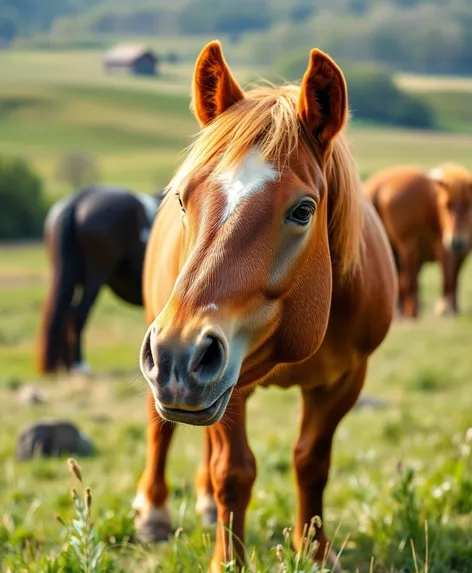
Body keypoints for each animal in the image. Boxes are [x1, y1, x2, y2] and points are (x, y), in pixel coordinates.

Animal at [134, 42, 398, 568]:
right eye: (183, 199)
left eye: (303, 210)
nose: (178, 353)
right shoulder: (229, 381)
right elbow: (233, 471)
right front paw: (228, 561)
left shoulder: (345, 379)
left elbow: (311, 462)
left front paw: (315, 552)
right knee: (161, 429)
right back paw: (154, 511)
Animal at [366, 162, 472, 318]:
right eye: (446, 205)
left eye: (469, 205)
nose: (457, 242)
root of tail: (379, 186)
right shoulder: (442, 246)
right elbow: (448, 275)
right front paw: (445, 308)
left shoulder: (461, 251)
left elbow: (455, 276)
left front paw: (453, 307)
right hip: (409, 245)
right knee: (409, 281)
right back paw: (412, 313)